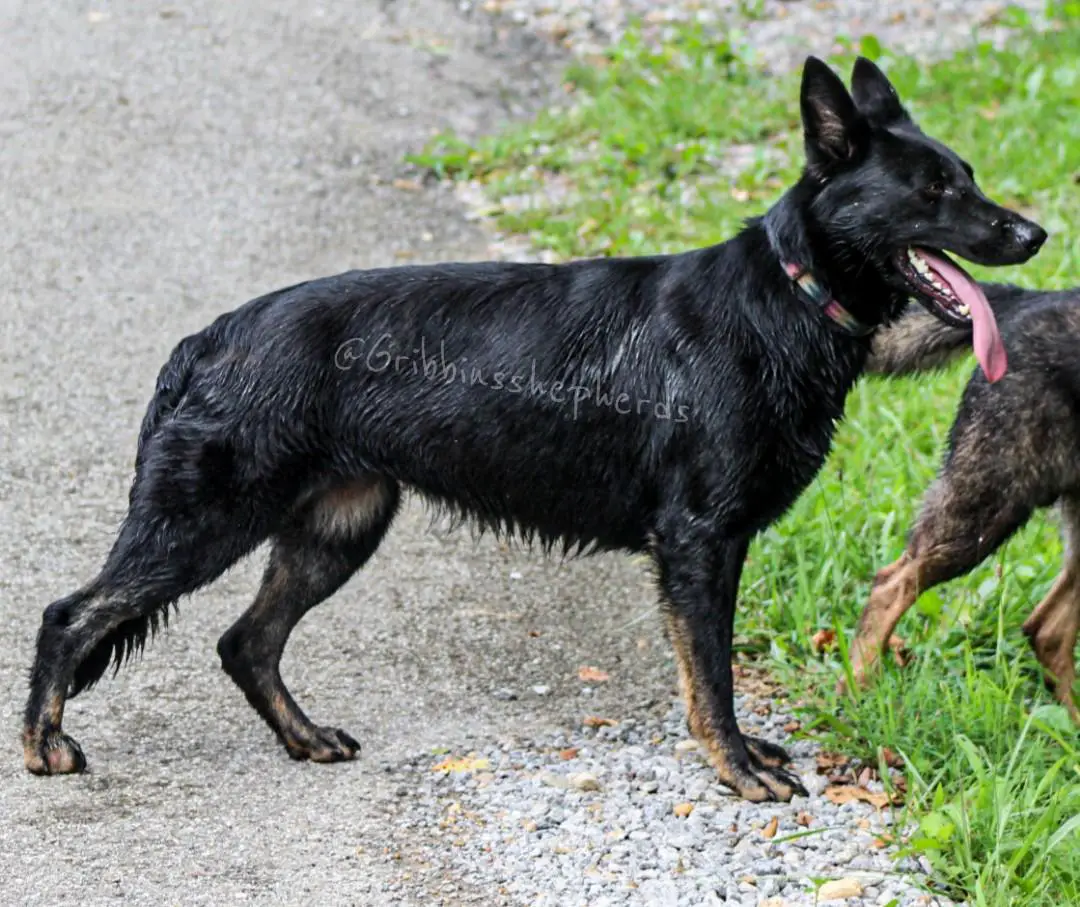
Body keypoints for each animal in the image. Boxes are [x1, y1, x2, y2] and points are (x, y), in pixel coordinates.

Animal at [19, 54, 1045, 799]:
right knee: (72, 614)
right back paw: (43, 746)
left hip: (337, 529)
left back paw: (303, 738)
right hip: (204, 524)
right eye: (933, 191)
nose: (1035, 235)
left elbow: (711, 669)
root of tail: (214, 334)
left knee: (246, 642)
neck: (788, 297)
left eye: (968, 179)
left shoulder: (715, 546)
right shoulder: (699, 543)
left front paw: (741, 754)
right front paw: (734, 767)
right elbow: (709, 673)